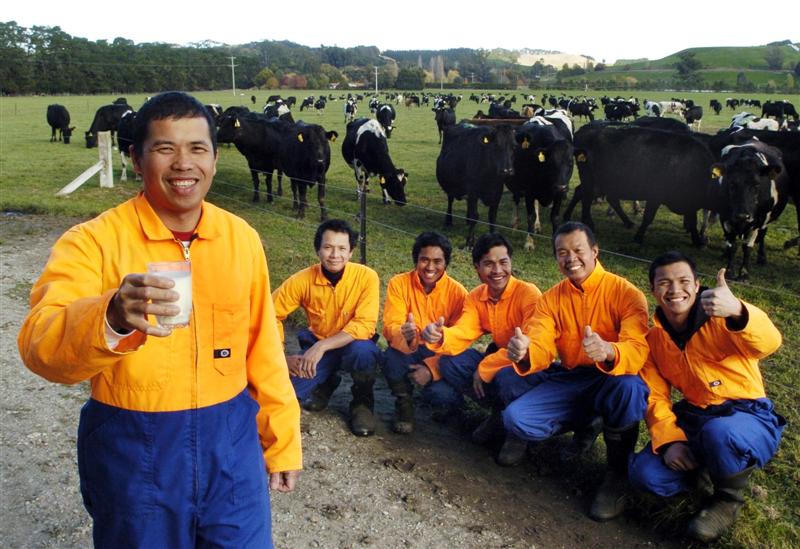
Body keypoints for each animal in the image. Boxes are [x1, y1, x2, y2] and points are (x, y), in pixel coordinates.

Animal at [564, 124, 716, 246]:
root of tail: (583, 131)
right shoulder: (655, 197)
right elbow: (648, 217)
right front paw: (638, 237)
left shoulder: (690, 204)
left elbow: (692, 222)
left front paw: (697, 241)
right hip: (591, 181)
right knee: (586, 198)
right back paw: (588, 223)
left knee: (584, 193)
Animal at [708, 141, 792, 278]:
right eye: (731, 184)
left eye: (756, 185)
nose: (743, 216)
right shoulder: (725, 218)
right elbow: (732, 245)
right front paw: (729, 271)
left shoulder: (757, 222)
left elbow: (747, 247)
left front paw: (743, 273)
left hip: (765, 220)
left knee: (762, 235)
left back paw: (762, 258)